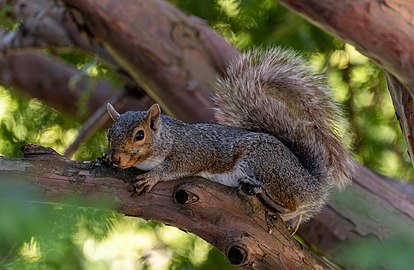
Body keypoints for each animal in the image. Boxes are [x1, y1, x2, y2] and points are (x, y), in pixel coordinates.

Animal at [105, 47, 354, 232]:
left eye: (139, 135)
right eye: (109, 134)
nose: (116, 159)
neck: (167, 138)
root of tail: (312, 183)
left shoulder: (194, 150)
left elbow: (177, 166)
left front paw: (153, 176)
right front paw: (104, 158)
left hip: (264, 164)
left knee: (291, 205)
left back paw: (264, 195)